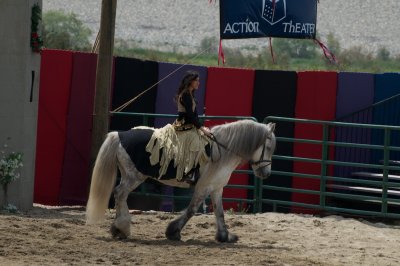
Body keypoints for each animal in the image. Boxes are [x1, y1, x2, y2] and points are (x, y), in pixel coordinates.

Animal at [86, 120, 276, 243]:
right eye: (268, 147)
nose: (266, 173)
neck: (222, 150)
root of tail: (119, 135)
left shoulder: (216, 188)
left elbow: (220, 213)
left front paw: (225, 236)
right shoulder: (204, 187)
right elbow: (191, 210)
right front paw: (173, 232)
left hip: (128, 175)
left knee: (120, 195)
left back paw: (118, 228)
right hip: (134, 176)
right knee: (120, 194)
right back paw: (122, 227)